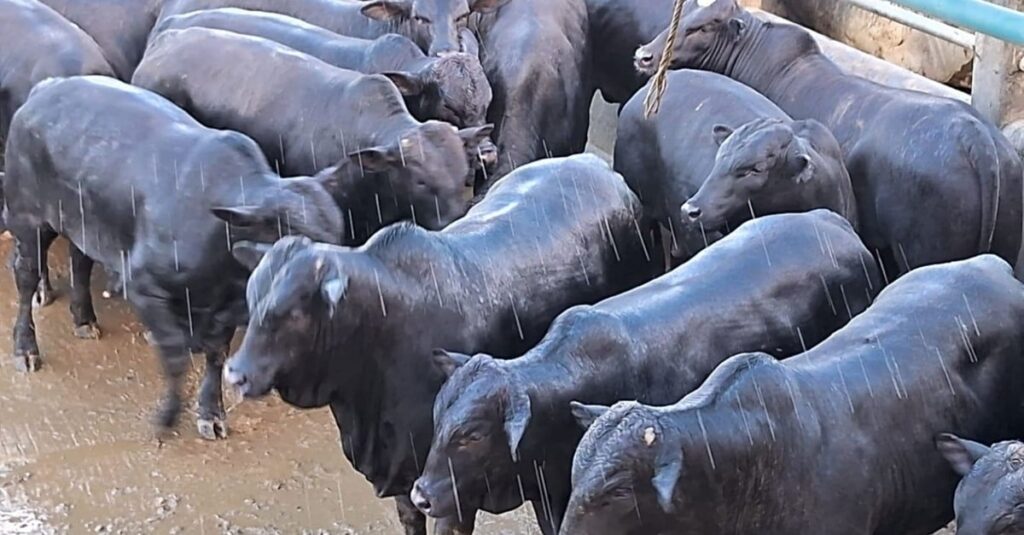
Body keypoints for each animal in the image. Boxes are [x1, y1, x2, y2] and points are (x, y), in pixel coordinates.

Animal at [3, 76, 344, 441]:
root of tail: (46, 88)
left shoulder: (223, 311)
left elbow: (216, 356)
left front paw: (211, 413)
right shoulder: (144, 287)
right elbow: (176, 358)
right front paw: (166, 417)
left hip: (82, 223)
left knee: (79, 261)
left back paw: (84, 320)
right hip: (28, 219)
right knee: (25, 277)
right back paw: (26, 348)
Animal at [220, 154, 661, 535]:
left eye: (293, 311)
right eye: (252, 298)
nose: (235, 374)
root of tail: (599, 166)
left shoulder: (452, 493)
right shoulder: (405, 482)